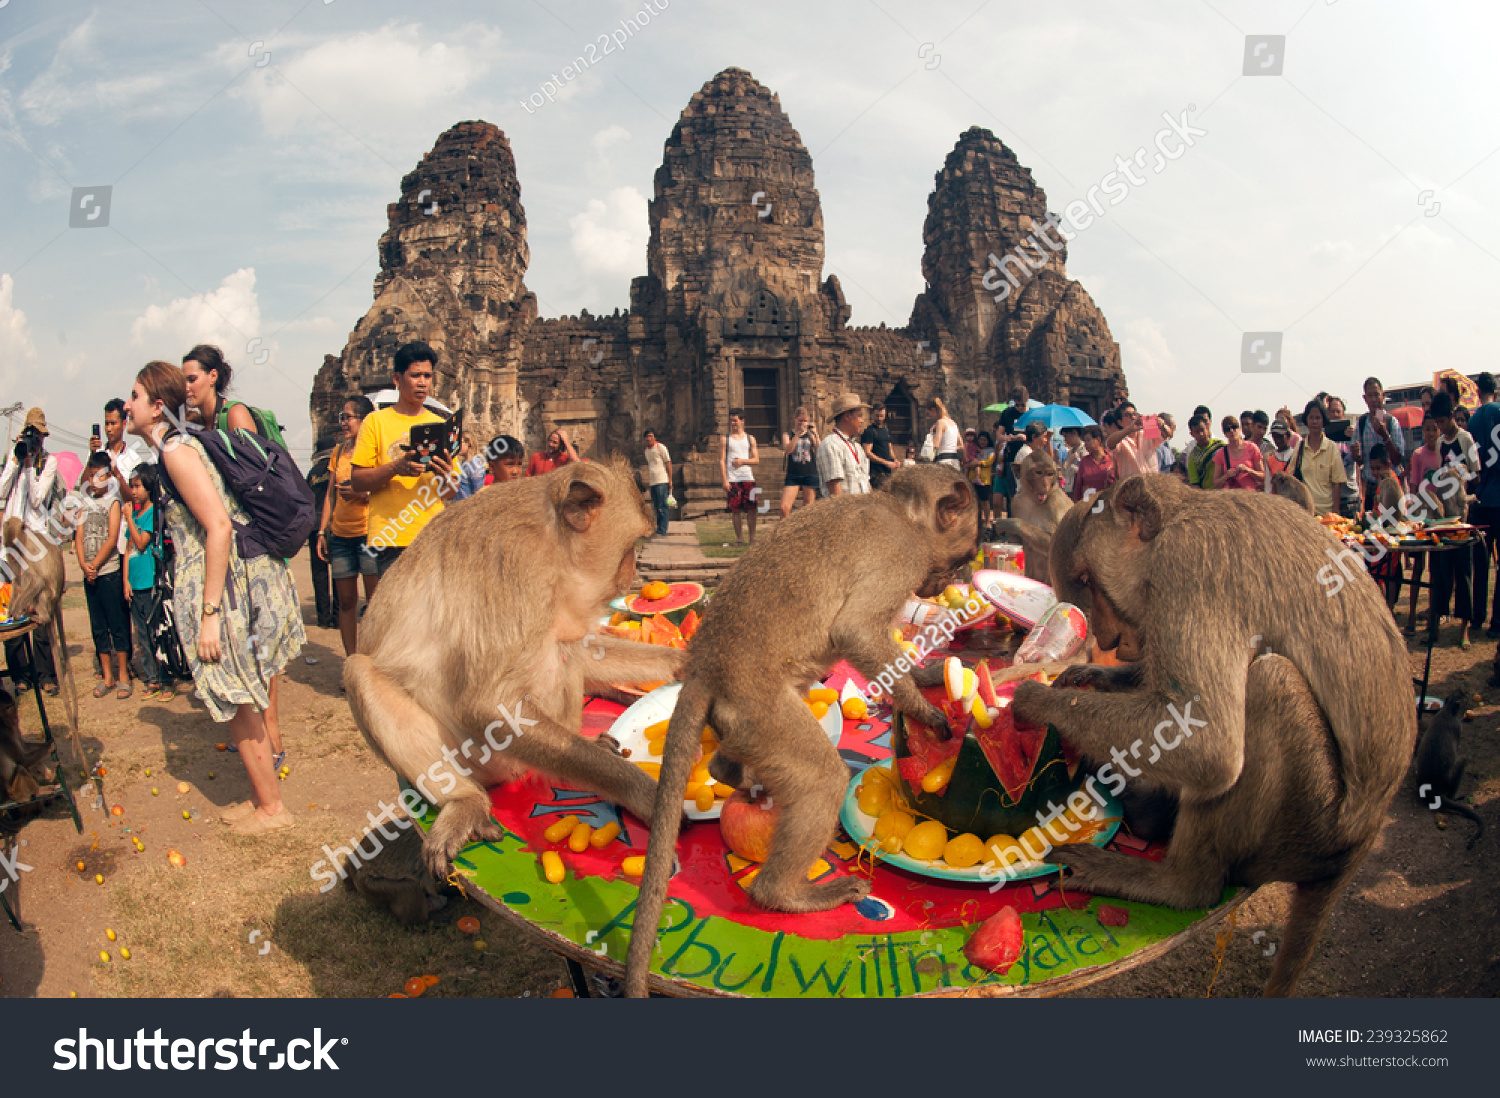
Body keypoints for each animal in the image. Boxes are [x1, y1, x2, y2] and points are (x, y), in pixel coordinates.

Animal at [343, 459, 687, 882]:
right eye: (634, 545)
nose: (631, 572)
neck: (553, 542)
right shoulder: (517, 564)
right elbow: (489, 707)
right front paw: (648, 796)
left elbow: (583, 647)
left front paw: (684, 662)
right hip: (483, 761)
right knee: (358, 670)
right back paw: (464, 801)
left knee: (563, 650)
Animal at [624, 468, 984, 1002]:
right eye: (965, 554)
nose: (951, 581)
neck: (902, 513)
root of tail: (706, 664)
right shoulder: (900, 556)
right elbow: (857, 631)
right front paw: (921, 709)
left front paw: (926, 677)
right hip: (761, 708)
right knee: (821, 778)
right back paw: (784, 894)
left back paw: (728, 769)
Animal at [1008, 477, 1416, 1002]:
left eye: (1088, 580)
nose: (1104, 639)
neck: (1181, 518)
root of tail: (1359, 843)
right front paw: (1095, 676)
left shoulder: (1185, 568)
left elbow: (1208, 742)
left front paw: (1037, 702)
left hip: (1304, 830)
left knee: (1270, 685)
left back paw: (1178, 883)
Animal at [1416, 687, 1488, 852]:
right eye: (1465, 696)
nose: (1468, 694)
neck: (1448, 711)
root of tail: (1432, 790)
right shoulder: (1458, 728)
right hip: (1448, 782)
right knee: (1462, 761)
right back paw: (1453, 797)